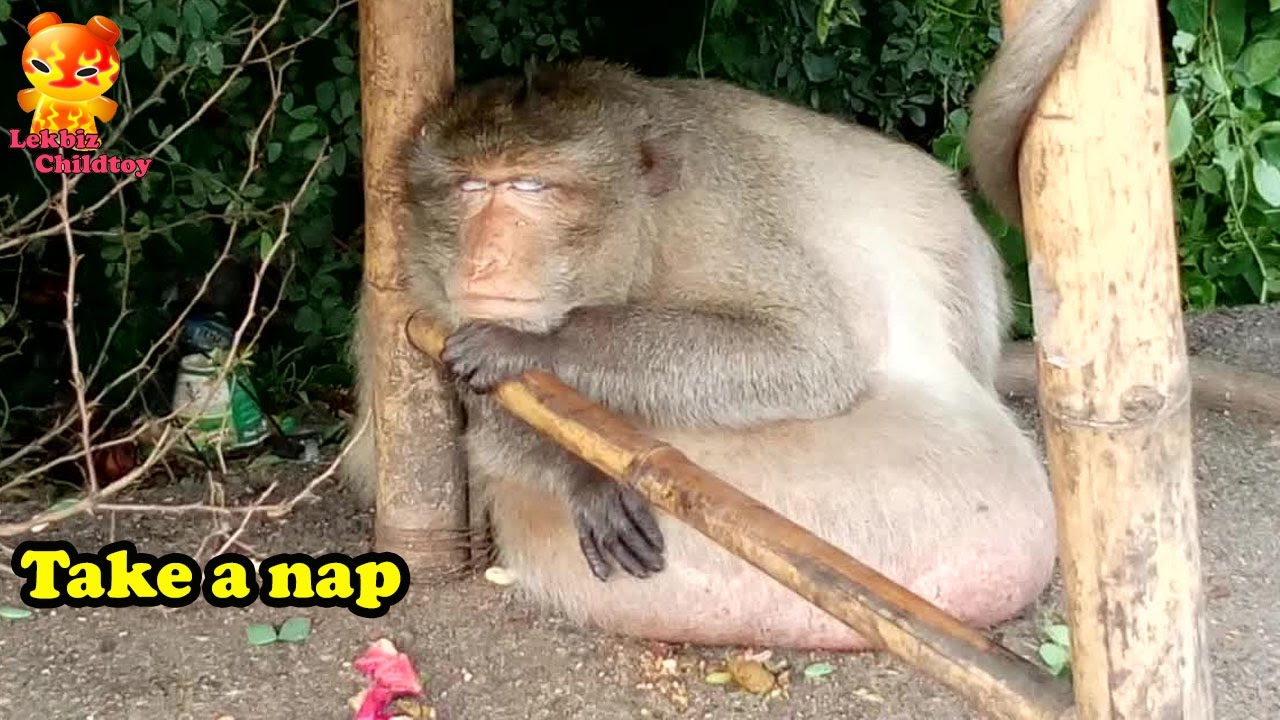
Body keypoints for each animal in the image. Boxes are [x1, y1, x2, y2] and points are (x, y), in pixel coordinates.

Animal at [340, 0, 1100, 650]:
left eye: (530, 187)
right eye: (470, 187)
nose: (485, 257)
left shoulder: (710, 203)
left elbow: (804, 354)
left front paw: (535, 346)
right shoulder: (411, 271)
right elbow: (470, 407)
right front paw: (580, 471)